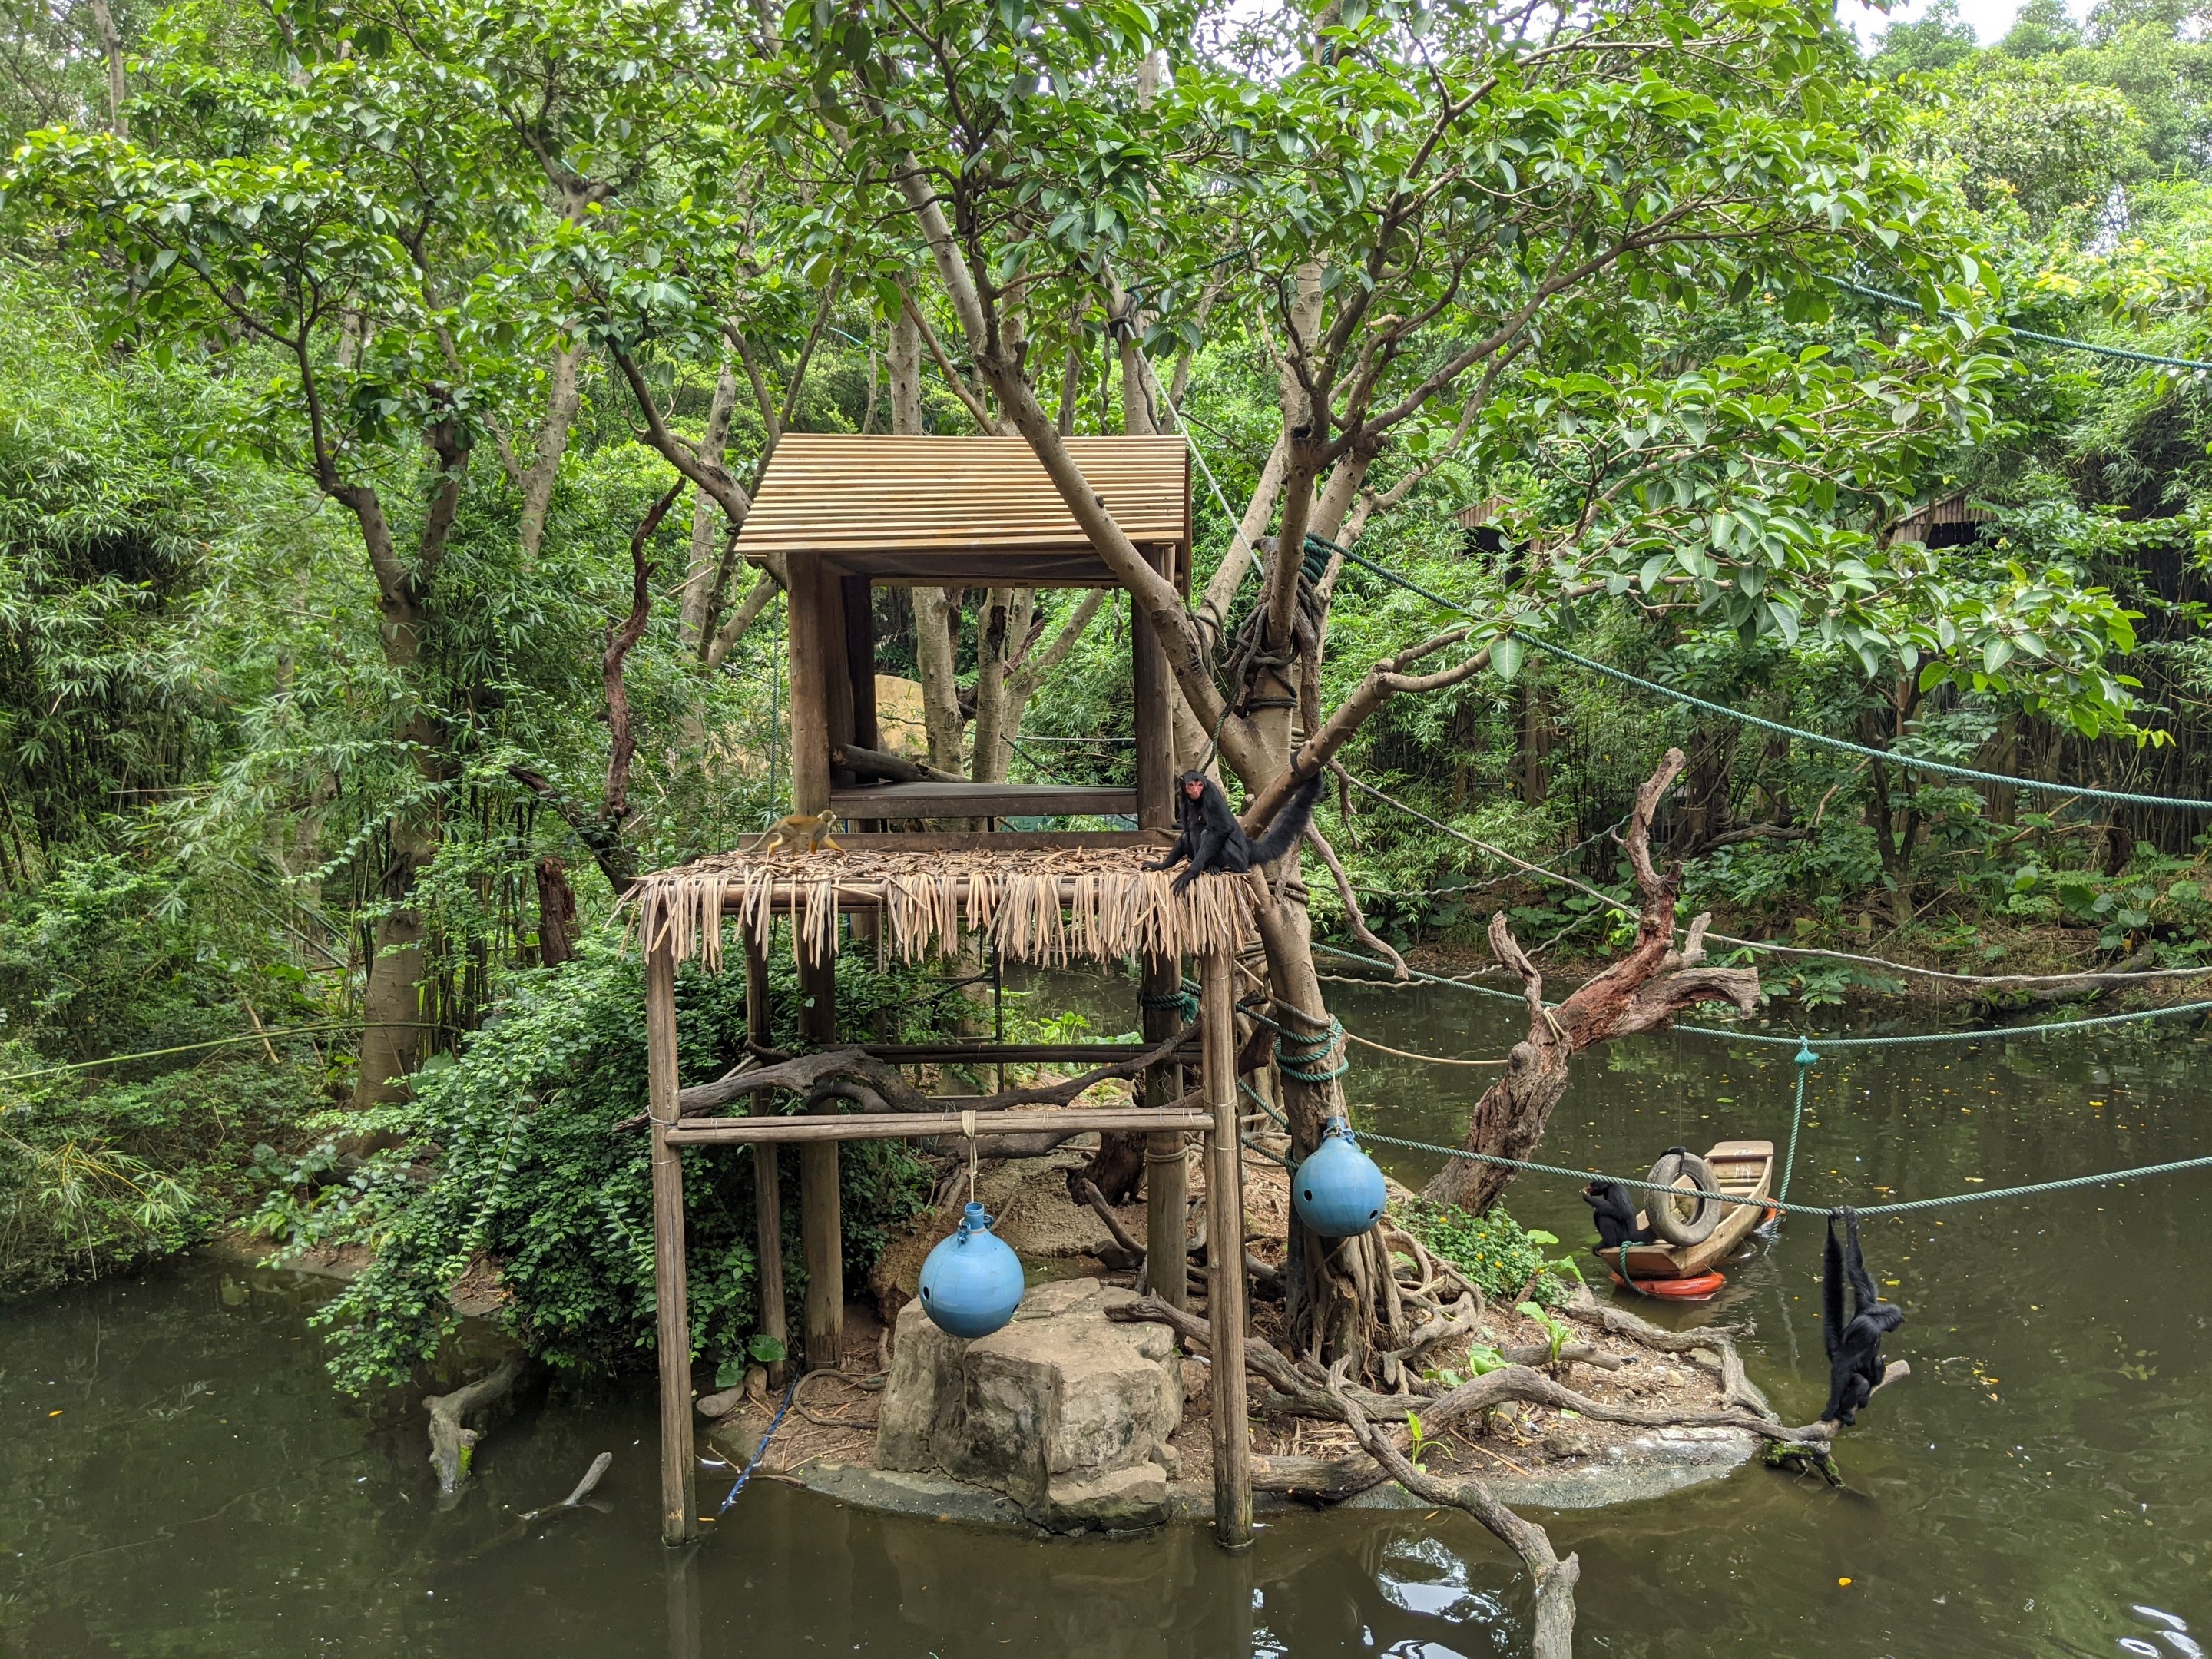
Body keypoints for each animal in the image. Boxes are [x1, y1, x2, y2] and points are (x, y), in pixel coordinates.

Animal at [1147, 767, 1325, 895]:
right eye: (1191, 785)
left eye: (1200, 785)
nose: (1196, 790)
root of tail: (1248, 846)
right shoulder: (1183, 798)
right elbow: (1186, 830)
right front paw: (1161, 865)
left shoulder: (1211, 793)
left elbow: (1222, 829)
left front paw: (1189, 874)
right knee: (1187, 835)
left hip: (1238, 858)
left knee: (1209, 834)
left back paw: (1218, 867)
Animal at [1821, 1207, 1905, 1426]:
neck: (1877, 1316)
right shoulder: (1868, 1331)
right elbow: (1842, 1365)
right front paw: (1831, 1408)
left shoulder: (1867, 1299)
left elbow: (1855, 1269)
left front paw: (1851, 1221)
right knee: (1860, 1380)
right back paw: (1843, 1411)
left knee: (1875, 1363)